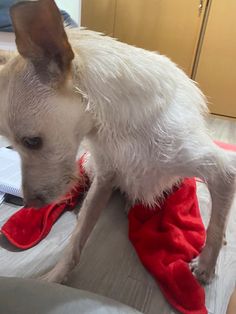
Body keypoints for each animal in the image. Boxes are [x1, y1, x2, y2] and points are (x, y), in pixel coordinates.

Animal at [0, 0, 234, 284]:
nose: (29, 204)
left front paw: (206, 267)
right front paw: (56, 275)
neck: (111, 127)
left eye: (32, 141)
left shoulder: (222, 169)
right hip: (92, 166)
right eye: (11, 143)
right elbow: (77, 241)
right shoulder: (105, 177)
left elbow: (215, 226)